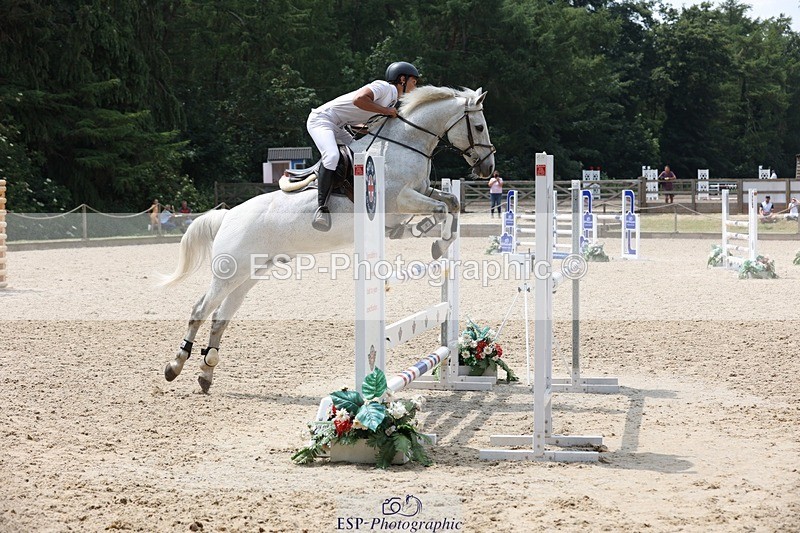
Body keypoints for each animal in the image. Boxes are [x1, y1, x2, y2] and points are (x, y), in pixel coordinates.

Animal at [160, 85, 495, 393]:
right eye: (479, 126)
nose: (487, 167)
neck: (403, 146)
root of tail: (228, 216)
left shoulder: (422, 192)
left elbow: (451, 202)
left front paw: (439, 240)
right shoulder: (400, 200)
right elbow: (441, 208)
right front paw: (437, 241)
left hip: (249, 274)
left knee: (220, 316)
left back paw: (206, 373)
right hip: (229, 272)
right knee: (200, 310)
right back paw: (175, 365)